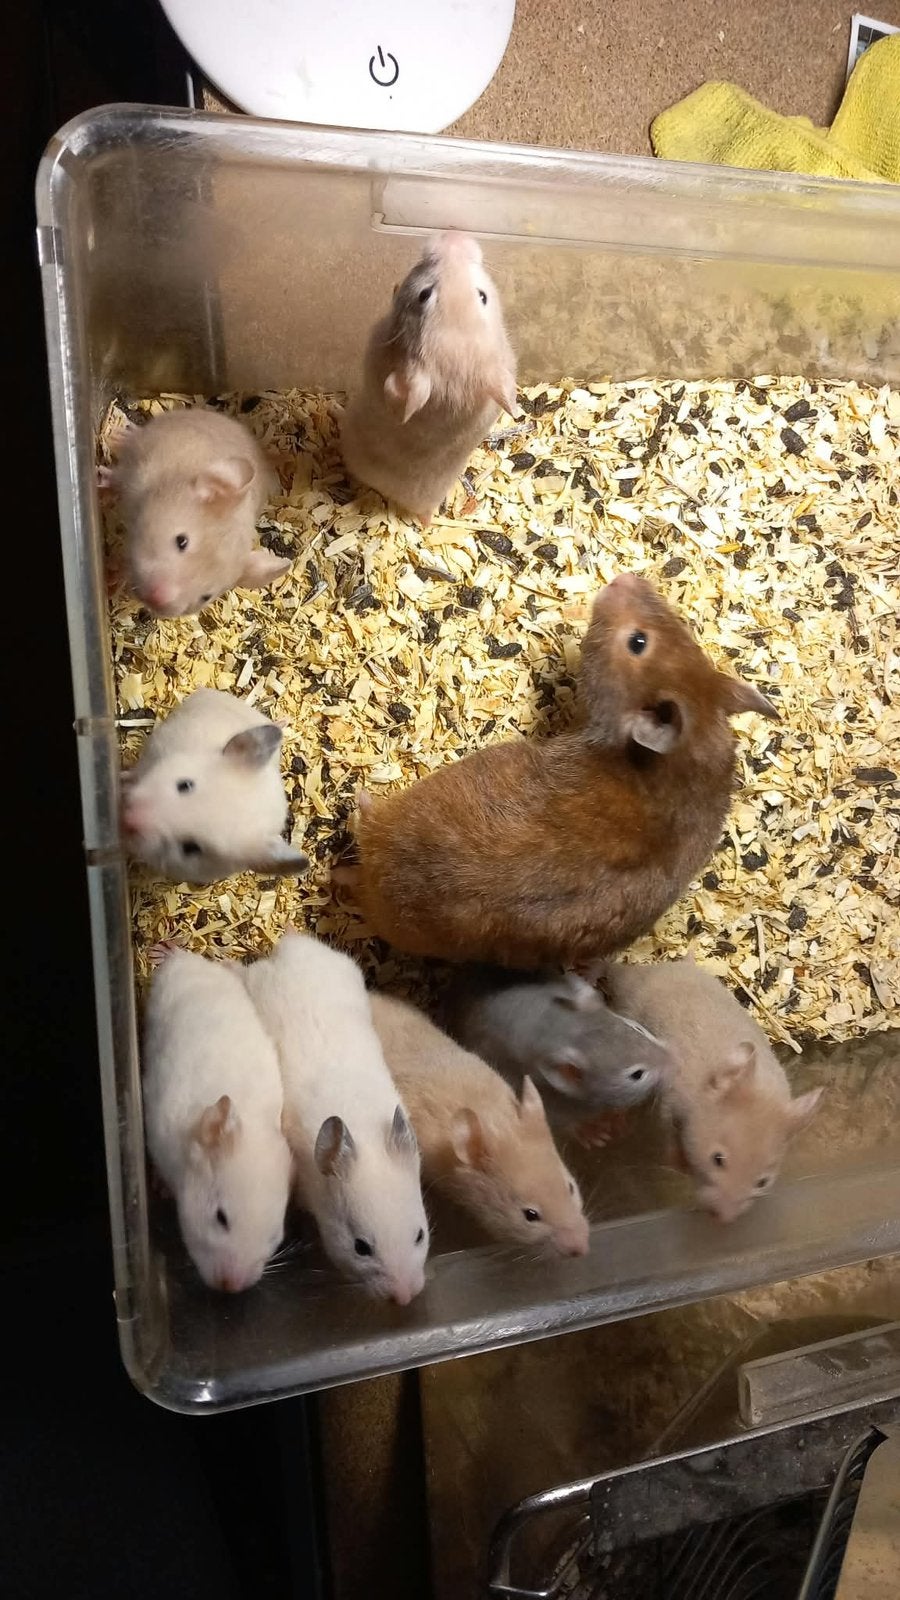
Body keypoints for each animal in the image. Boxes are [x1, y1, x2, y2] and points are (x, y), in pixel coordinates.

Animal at [106, 406, 289, 615]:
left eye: (206, 597)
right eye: (182, 541)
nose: (156, 599)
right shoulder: (137, 476)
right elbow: (117, 478)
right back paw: (122, 434)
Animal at [349, 573, 778, 969]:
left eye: (638, 642)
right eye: (684, 632)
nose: (625, 578)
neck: (687, 755)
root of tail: (376, 864)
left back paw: (357, 800)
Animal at [602, 957, 823, 1222]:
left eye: (762, 1182)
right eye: (717, 1159)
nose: (723, 1219)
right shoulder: (668, 1108)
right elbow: (669, 1142)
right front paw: (681, 1165)